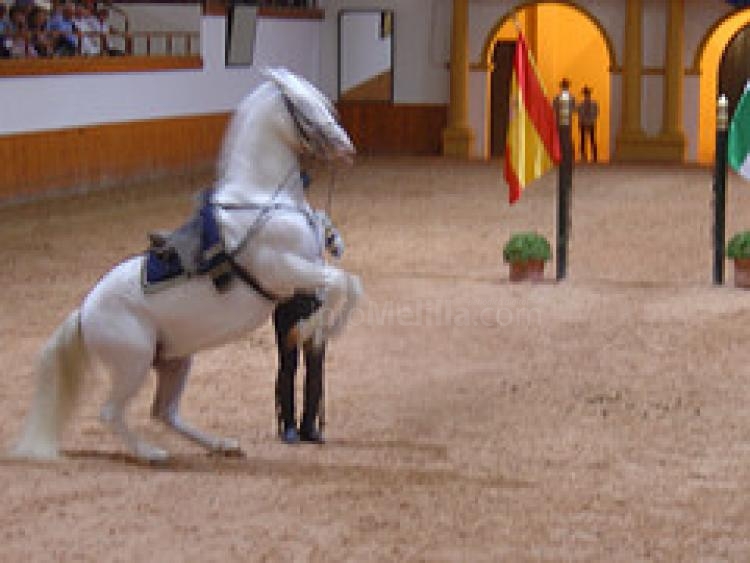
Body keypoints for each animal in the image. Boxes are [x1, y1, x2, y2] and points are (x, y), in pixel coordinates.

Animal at [11, 68, 362, 463]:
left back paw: (222, 445)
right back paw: (152, 454)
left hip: (175, 361)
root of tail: (84, 313)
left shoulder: (306, 269)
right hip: (134, 363)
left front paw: (318, 326)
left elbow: (346, 283)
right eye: (301, 103)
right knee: (111, 413)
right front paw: (310, 329)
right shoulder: (285, 270)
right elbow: (343, 283)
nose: (347, 148)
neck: (261, 201)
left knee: (164, 412)